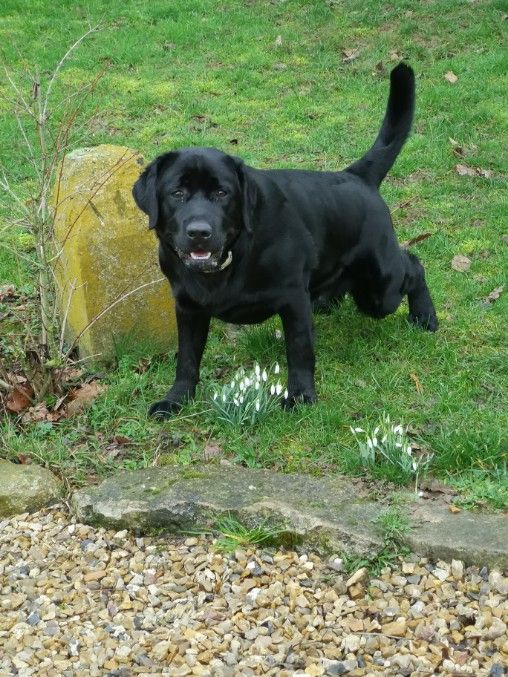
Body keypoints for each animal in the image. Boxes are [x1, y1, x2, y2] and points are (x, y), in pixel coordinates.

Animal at [134, 66, 436, 420]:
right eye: (177, 192)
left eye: (222, 192)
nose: (199, 231)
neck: (232, 260)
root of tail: (356, 176)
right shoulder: (188, 307)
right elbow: (187, 359)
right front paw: (177, 399)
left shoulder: (292, 300)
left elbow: (300, 352)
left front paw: (300, 395)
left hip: (380, 288)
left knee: (413, 265)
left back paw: (425, 317)